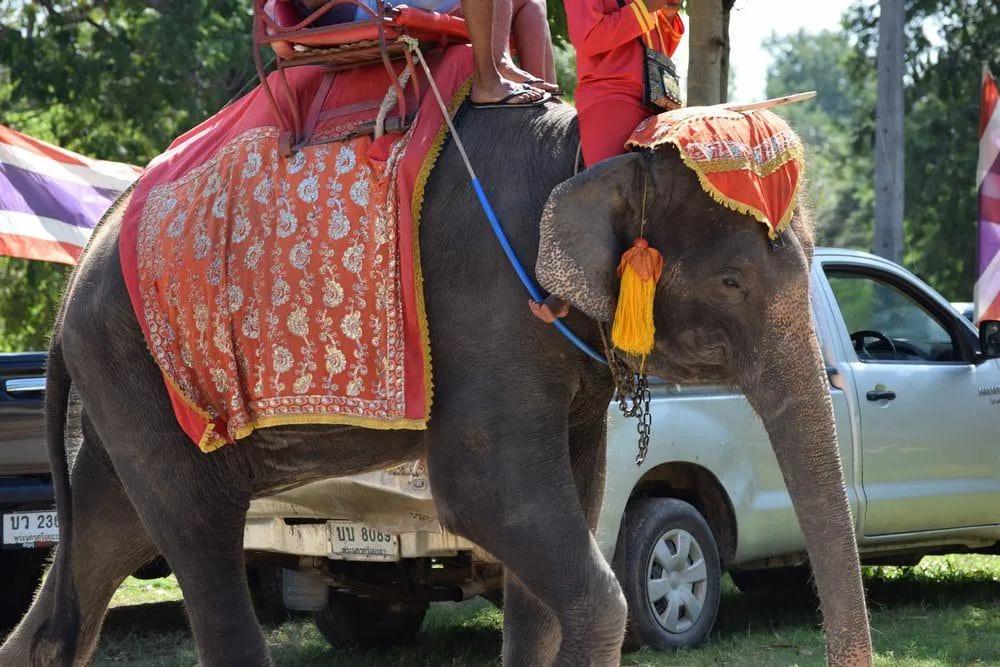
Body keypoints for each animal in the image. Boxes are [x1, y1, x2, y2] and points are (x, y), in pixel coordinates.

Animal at [0, 101, 872, 666]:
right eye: (732, 282)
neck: (588, 154)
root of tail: (67, 292)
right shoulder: (485, 304)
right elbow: (489, 493)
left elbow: (572, 502)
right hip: (144, 372)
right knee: (199, 537)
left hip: (124, 396)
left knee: (108, 537)